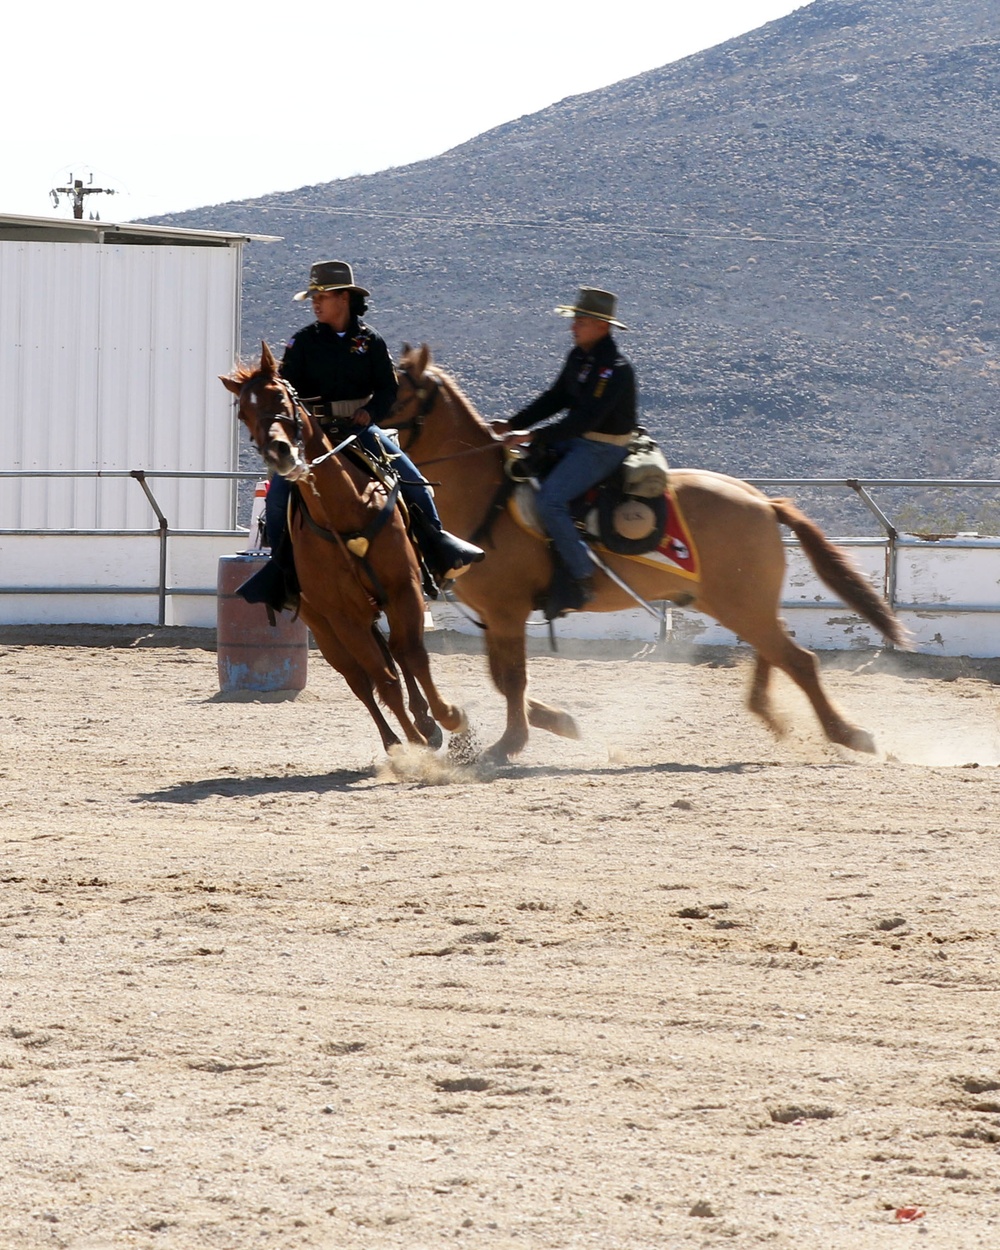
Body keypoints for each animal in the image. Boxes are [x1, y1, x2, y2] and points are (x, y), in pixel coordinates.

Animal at [221, 342, 462, 750]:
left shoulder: (405, 588)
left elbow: (413, 654)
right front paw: (413, 744)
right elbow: (383, 680)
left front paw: (446, 716)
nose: (279, 453)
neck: (345, 510)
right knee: (361, 680)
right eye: (244, 413)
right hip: (326, 629)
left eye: (282, 397)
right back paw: (396, 741)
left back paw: (426, 723)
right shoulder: (343, 617)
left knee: (397, 653)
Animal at [387, 347, 910, 765]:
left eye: (393, 389)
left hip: (741, 603)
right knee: (777, 653)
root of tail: (762, 502)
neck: (487, 495)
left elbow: (512, 680)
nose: (363, 427)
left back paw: (849, 735)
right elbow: (503, 679)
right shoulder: (496, 617)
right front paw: (558, 721)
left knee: (798, 660)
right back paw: (776, 717)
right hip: (743, 603)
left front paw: (507, 745)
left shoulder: (506, 611)